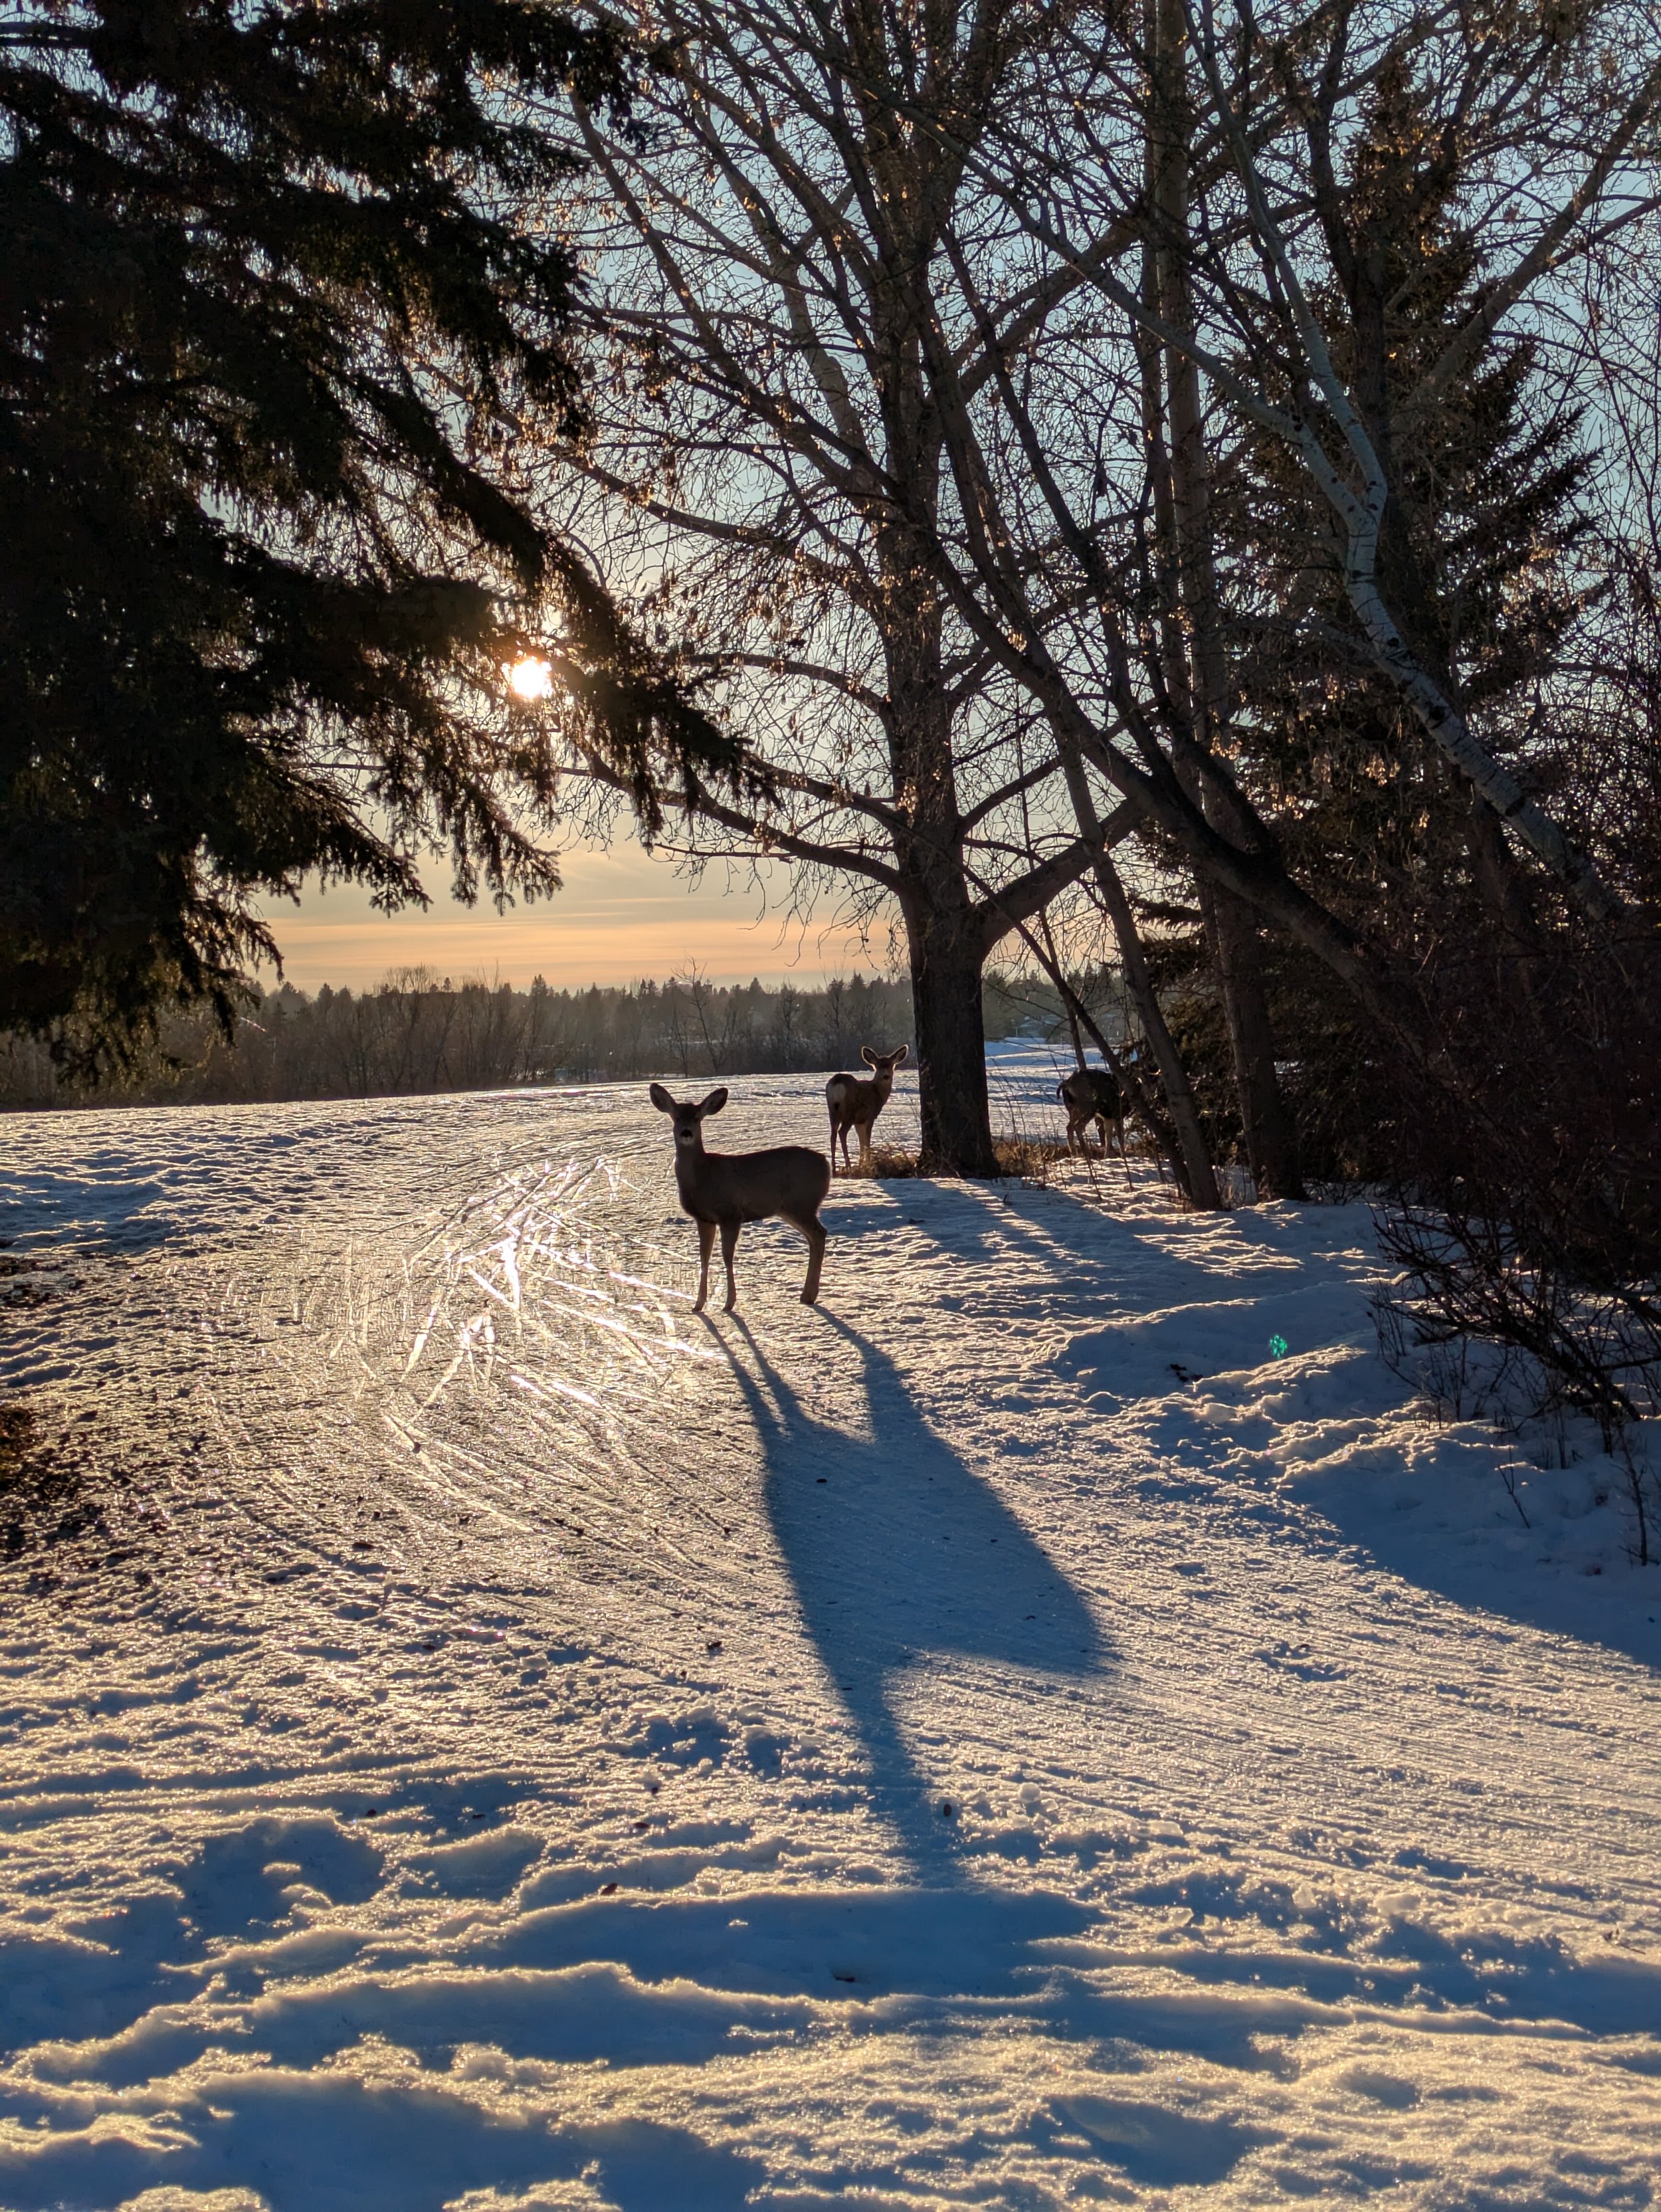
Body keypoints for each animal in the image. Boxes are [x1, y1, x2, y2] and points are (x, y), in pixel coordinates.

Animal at [650, 1084, 831, 1312]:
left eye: (698, 1117)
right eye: (676, 1116)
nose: (686, 1133)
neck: (703, 1176)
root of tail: (826, 1165)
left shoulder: (731, 1214)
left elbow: (727, 1255)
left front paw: (729, 1303)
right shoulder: (704, 1219)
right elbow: (704, 1256)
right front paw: (698, 1305)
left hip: (801, 1204)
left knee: (819, 1234)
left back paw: (808, 1295)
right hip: (791, 1209)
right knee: (813, 1238)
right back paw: (807, 1295)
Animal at [825, 1045, 908, 1172]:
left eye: (890, 1065)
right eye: (879, 1066)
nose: (886, 1076)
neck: (877, 1093)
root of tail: (837, 1083)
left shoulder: (859, 1121)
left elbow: (861, 1142)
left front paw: (861, 1164)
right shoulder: (870, 1116)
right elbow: (867, 1141)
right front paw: (868, 1164)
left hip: (833, 1110)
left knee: (833, 1134)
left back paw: (834, 1168)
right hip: (849, 1113)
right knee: (842, 1132)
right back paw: (848, 1166)